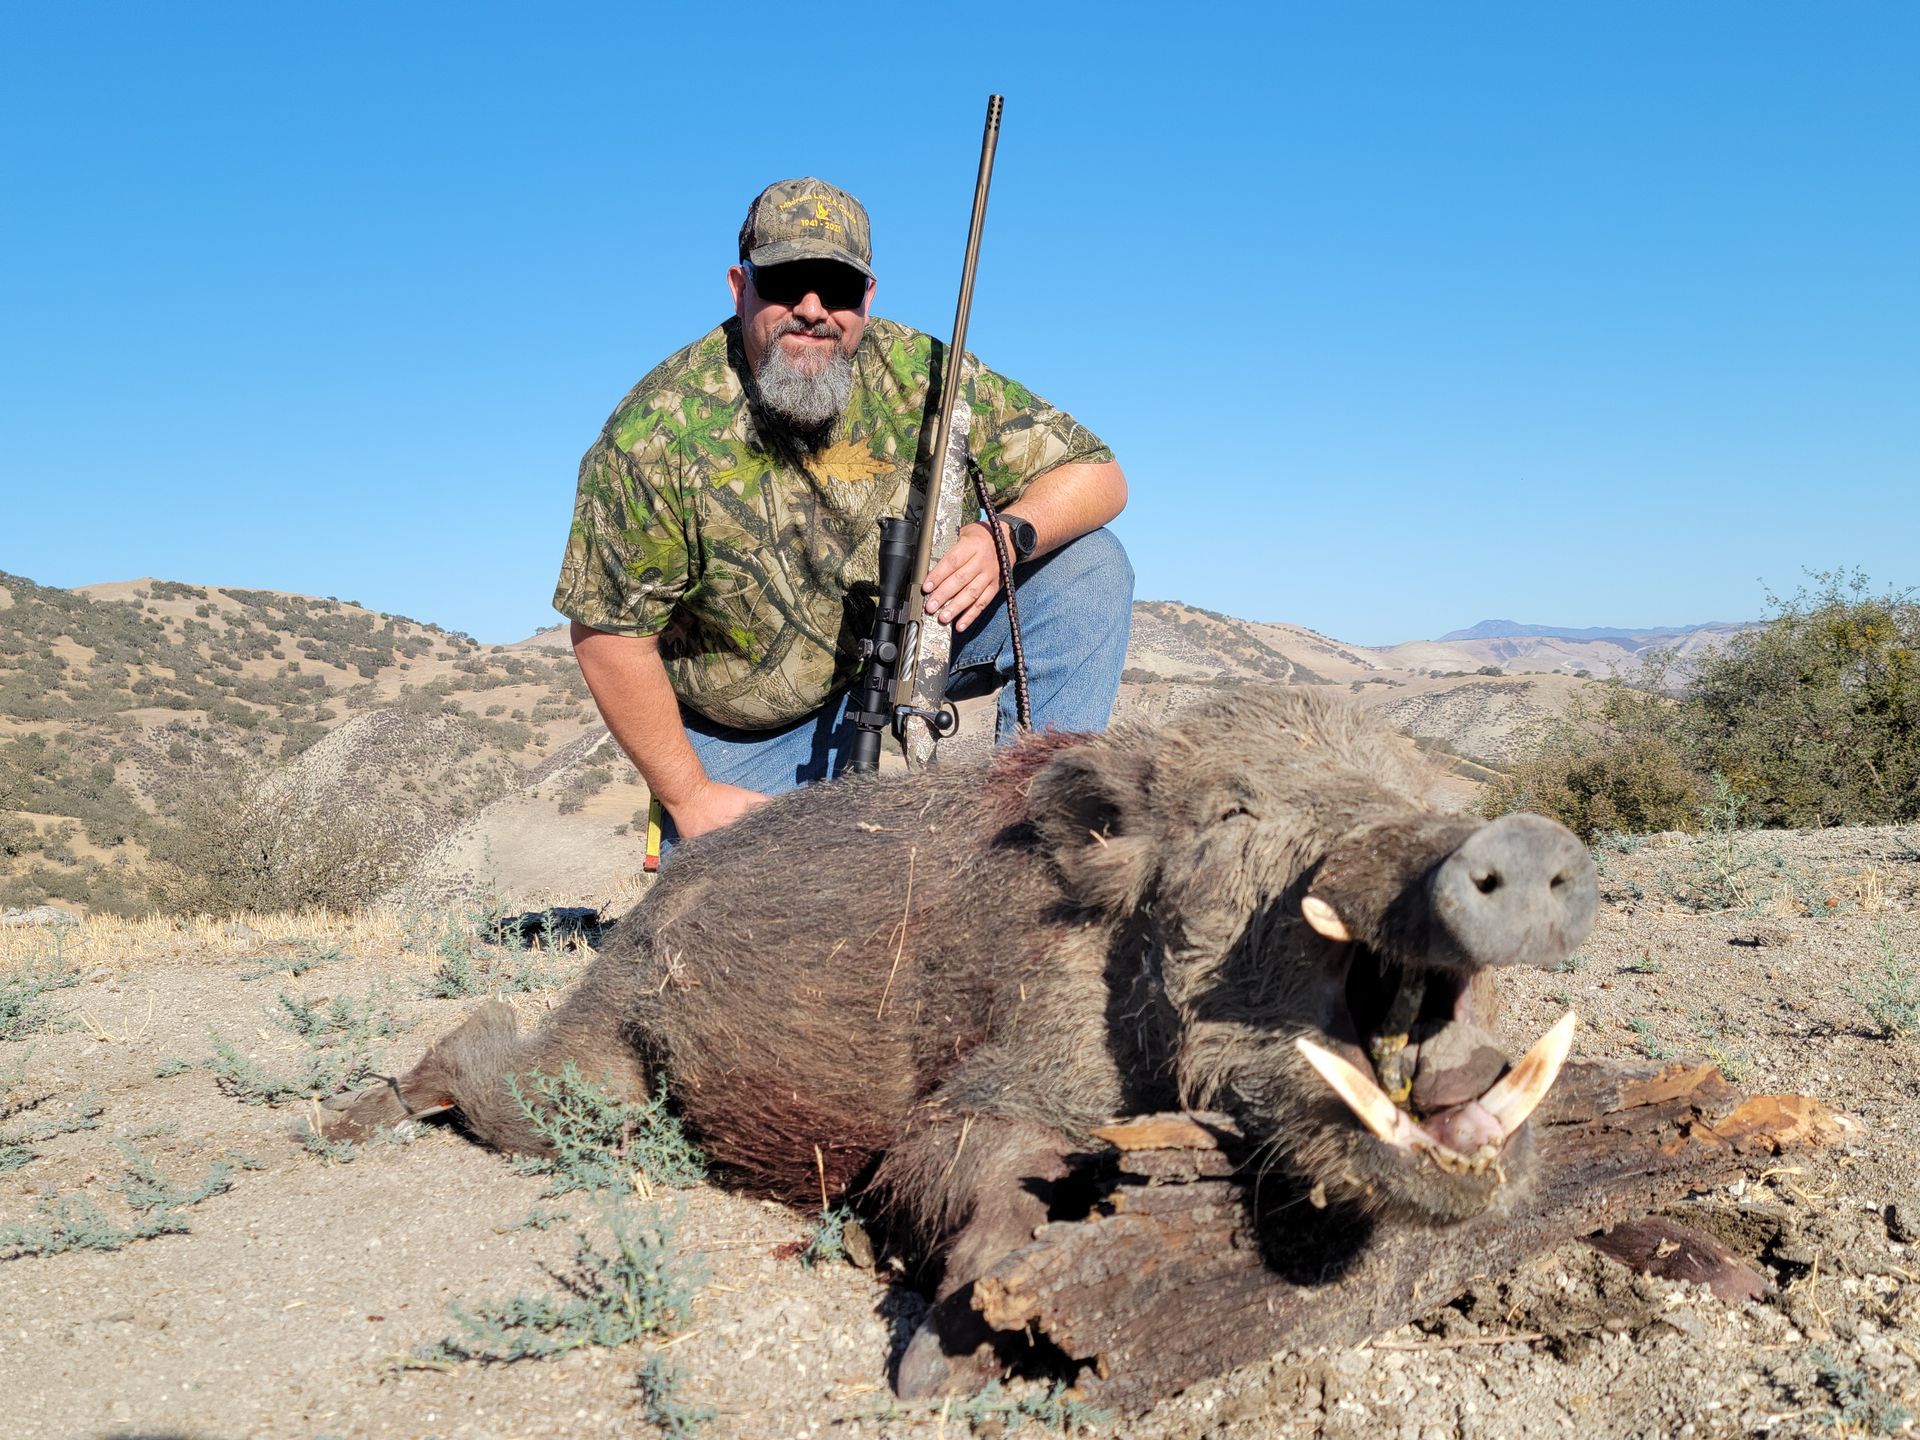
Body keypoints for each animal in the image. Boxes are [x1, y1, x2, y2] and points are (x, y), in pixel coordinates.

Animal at [325, 686, 1596, 1395]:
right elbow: (959, 1156)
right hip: (596, 1068)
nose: (1522, 840)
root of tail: (643, 909)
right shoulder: (1000, 1070)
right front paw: (937, 1367)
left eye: (1415, 781)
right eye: (1235, 811)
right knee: (493, 1065)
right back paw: (344, 1124)